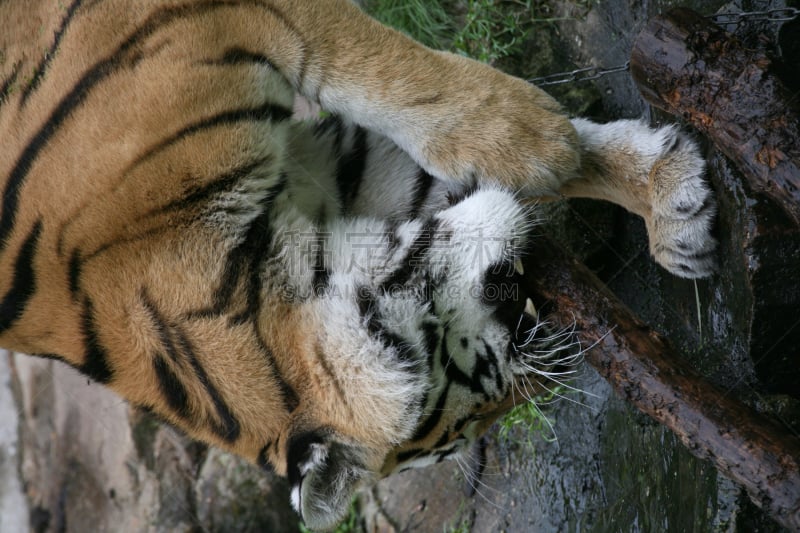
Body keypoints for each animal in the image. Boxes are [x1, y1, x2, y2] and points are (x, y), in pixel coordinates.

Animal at [0, 0, 716, 528]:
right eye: (475, 411)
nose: (547, 352)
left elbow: (370, 65)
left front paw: (547, 145)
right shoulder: (331, 171)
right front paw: (667, 190)